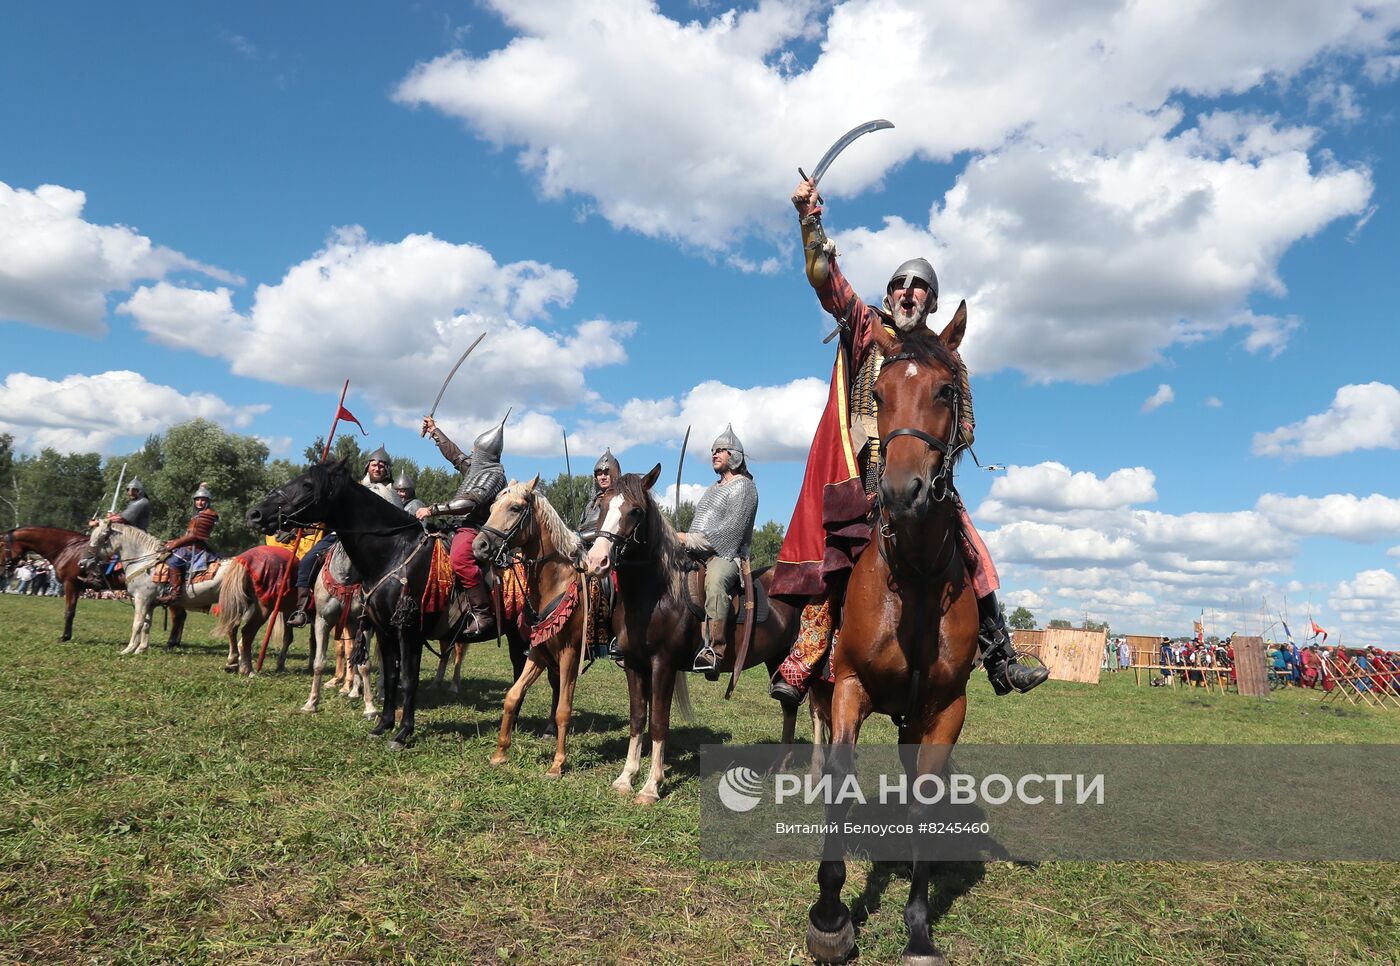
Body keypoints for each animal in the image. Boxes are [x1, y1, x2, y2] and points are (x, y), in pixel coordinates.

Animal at [247, 456, 540, 744]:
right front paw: (383, 724)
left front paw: (403, 732)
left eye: (307, 485)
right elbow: (389, 676)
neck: (394, 551)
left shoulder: (409, 632)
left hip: (522, 635)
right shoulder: (384, 630)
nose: (255, 513)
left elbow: (408, 680)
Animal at [576, 467, 800, 806]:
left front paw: (650, 786)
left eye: (636, 511)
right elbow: (638, 718)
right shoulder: (634, 664)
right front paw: (626, 778)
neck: (656, 592)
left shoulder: (663, 665)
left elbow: (658, 722)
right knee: (789, 708)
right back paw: (781, 766)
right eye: (601, 507)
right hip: (776, 661)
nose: (596, 562)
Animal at [806, 308, 980, 963]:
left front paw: (919, 927)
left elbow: (925, 798)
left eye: (946, 390)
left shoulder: (945, 708)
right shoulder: (851, 686)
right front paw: (830, 915)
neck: (917, 575)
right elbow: (840, 774)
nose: (904, 492)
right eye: (878, 394)